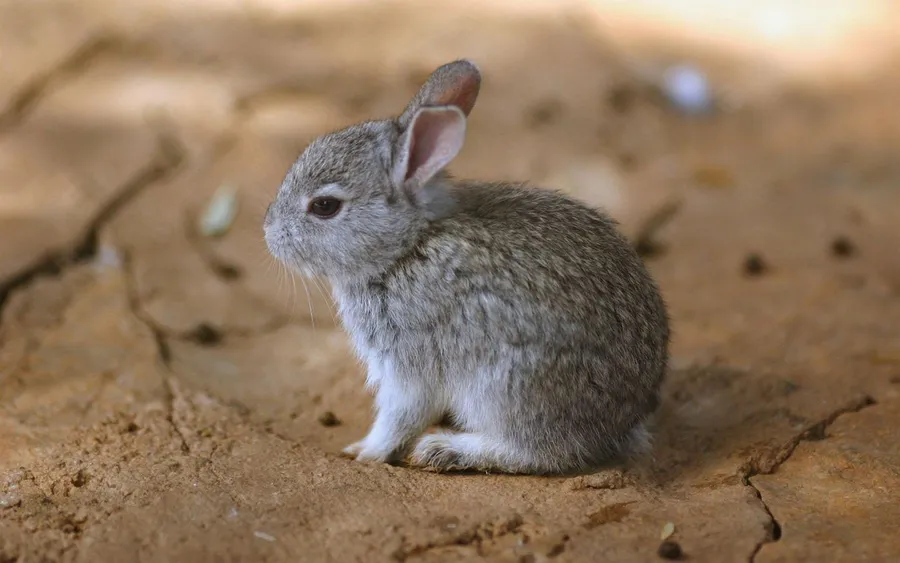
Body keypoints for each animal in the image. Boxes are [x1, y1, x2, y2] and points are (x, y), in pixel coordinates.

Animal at [263, 60, 670, 474]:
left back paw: (445, 449)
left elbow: (400, 415)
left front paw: (366, 452)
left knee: (540, 451)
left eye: (324, 206)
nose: (269, 233)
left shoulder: (410, 361)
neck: (407, 247)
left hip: (507, 386)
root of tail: (622, 420)